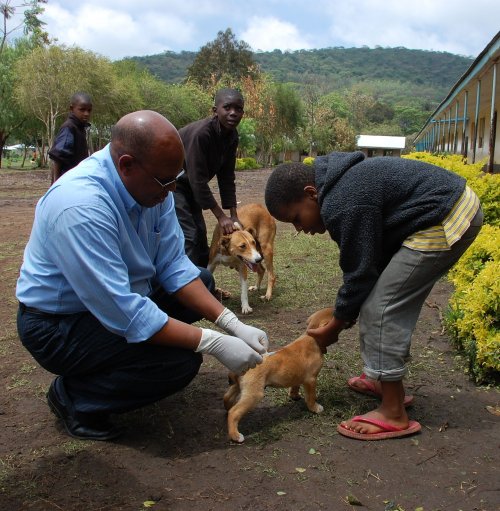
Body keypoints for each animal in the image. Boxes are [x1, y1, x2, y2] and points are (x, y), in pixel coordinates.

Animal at [222, 308, 332, 444]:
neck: (311, 337)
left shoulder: (298, 376)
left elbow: (295, 386)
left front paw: (294, 396)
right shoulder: (311, 380)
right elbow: (311, 397)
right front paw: (315, 408)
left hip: (239, 386)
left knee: (227, 397)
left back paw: (227, 411)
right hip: (254, 394)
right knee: (234, 412)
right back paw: (235, 435)